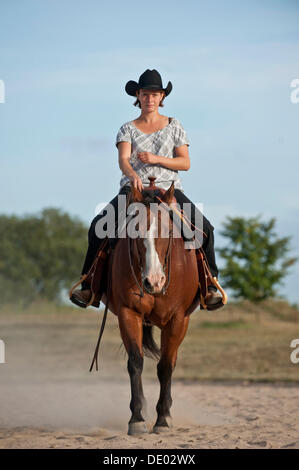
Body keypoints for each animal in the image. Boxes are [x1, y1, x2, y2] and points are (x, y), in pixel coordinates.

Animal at [99, 179, 200, 434]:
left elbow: (165, 366)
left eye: (169, 231)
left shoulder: (178, 319)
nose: (154, 281)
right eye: (134, 231)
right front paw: (137, 418)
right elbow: (136, 361)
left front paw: (163, 419)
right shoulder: (128, 313)